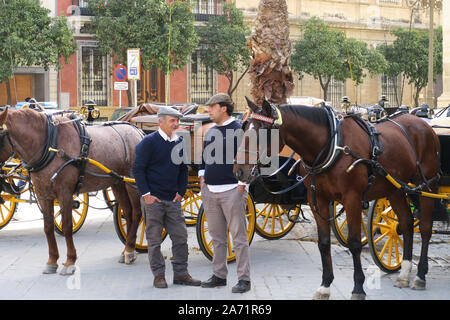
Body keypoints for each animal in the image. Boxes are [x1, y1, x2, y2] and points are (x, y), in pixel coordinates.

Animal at [0, 107, 143, 276]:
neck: (49, 143)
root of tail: (138, 132)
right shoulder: (43, 194)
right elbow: (48, 227)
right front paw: (52, 261)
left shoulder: (65, 193)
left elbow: (67, 226)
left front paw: (70, 261)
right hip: (118, 183)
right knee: (127, 212)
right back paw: (128, 249)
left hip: (132, 182)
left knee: (137, 213)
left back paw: (130, 250)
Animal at [236, 98, 440, 300]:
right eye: (244, 127)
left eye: (262, 133)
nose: (238, 171)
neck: (331, 146)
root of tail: (424, 124)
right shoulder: (317, 199)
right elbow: (324, 243)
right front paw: (325, 286)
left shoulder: (353, 199)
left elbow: (354, 243)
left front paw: (358, 288)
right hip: (394, 189)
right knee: (406, 223)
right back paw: (404, 272)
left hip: (426, 184)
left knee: (425, 228)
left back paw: (420, 275)